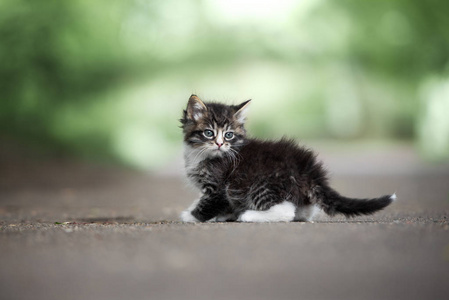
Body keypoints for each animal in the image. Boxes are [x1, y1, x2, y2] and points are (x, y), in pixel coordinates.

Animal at [179, 94, 396, 223]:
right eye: (208, 133)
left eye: (229, 135)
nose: (219, 144)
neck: (202, 154)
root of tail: (309, 170)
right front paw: (218, 214)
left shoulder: (219, 187)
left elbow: (208, 203)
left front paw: (190, 216)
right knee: (304, 211)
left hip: (260, 182)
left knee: (286, 210)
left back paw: (248, 215)